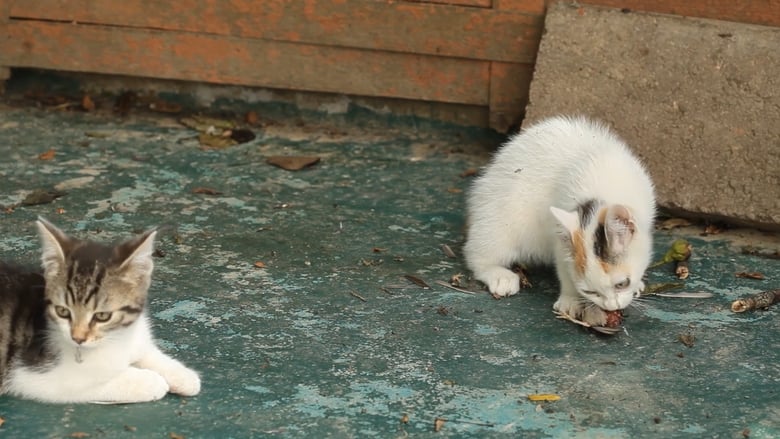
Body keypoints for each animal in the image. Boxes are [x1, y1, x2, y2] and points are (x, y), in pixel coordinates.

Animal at [1, 220, 201, 406]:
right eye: (62, 311)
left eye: (102, 316)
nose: (77, 338)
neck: (116, 337)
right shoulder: (31, 375)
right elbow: (93, 380)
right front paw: (149, 381)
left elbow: (147, 352)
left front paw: (184, 375)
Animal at [466, 117, 656, 326]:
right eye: (590, 291)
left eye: (622, 284)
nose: (611, 307)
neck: (604, 193)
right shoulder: (559, 235)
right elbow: (563, 265)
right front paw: (571, 299)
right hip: (499, 217)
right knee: (477, 252)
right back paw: (499, 275)